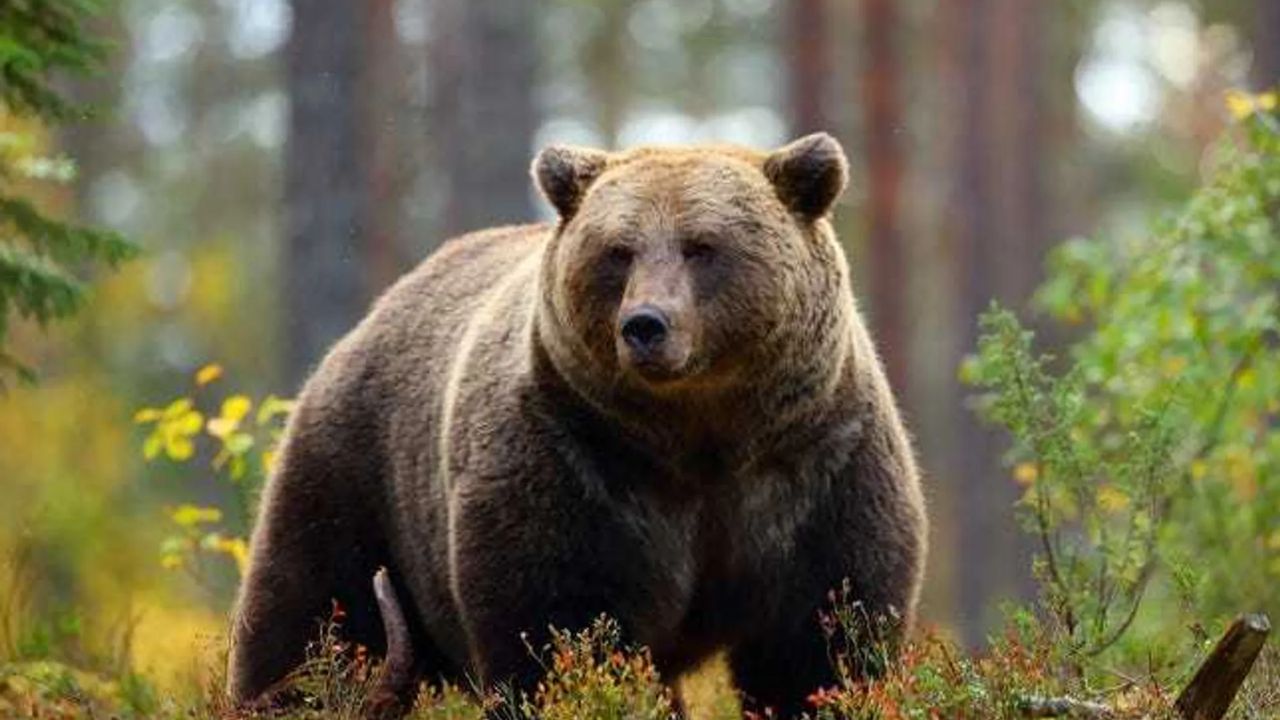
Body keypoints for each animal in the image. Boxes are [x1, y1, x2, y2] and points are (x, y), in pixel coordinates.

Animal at [227, 132, 927, 718]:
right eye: (619, 251)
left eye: (703, 246)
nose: (645, 324)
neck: (702, 437)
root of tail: (373, 315)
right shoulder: (575, 464)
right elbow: (559, 627)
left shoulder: (815, 466)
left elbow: (822, 640)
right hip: (357, 475)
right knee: (310, 622)